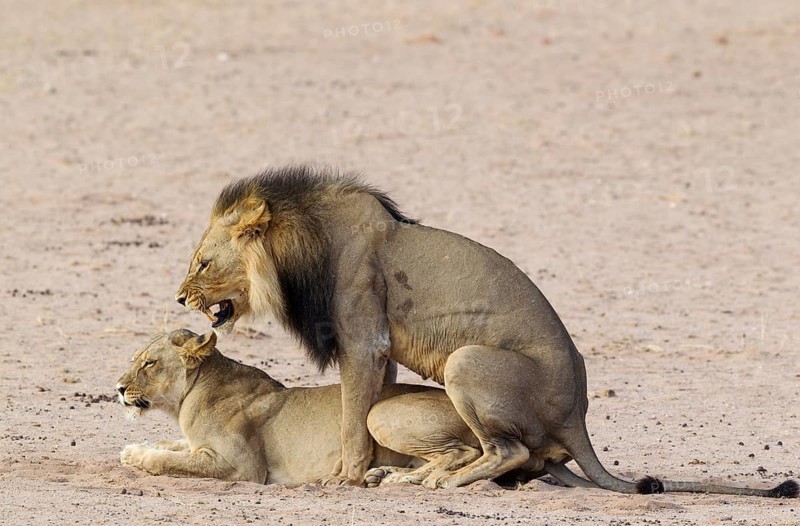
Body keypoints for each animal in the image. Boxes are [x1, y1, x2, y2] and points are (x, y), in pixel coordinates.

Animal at [174, 165, 797, 497]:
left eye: (202, 262)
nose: (179, 298)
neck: (306, 243)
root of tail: (577, 414)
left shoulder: (364, 340)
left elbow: (354, 421)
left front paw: (345, 479)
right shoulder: (378, 351)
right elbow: (365, 409)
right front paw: (372, 470)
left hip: (466, 361)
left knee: (507, 449)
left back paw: (440, 483)